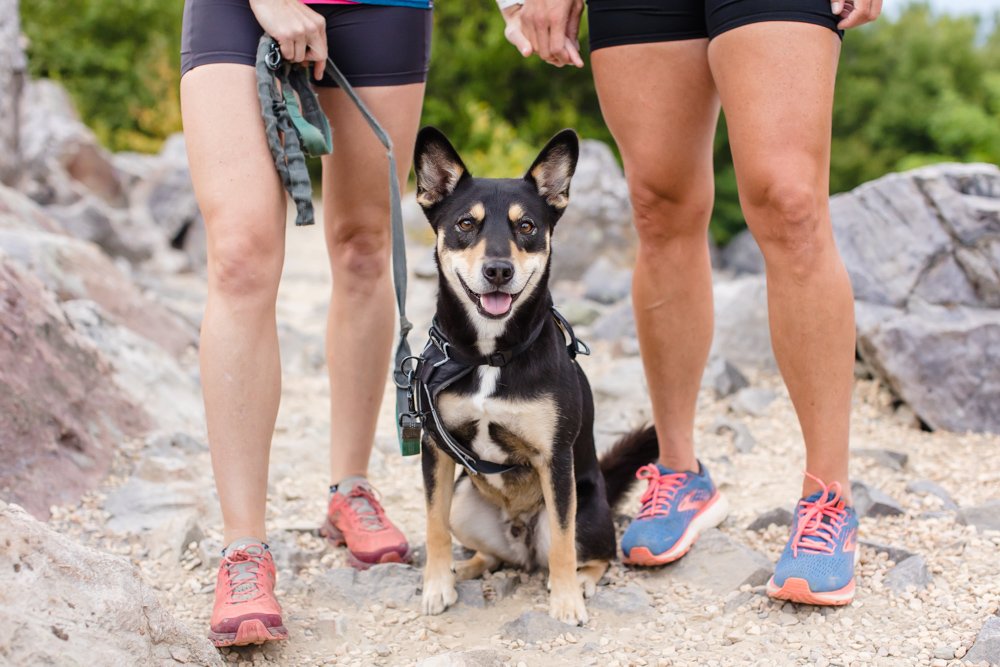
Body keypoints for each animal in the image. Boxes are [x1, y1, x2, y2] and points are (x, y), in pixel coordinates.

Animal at [412, 126, 656, 628]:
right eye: (465, 224)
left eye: (526, 227)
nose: (498, 270)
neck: (490, 354)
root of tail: (519, 535)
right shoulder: (436, 450)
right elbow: (433, 525)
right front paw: (437, 585)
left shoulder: (554, 460)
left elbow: (562, 544)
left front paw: (566, 602)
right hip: (465, 501)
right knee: (492, 554)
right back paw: (469, 567)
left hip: (588, 512)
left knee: (595, 555)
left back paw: (581, 583)